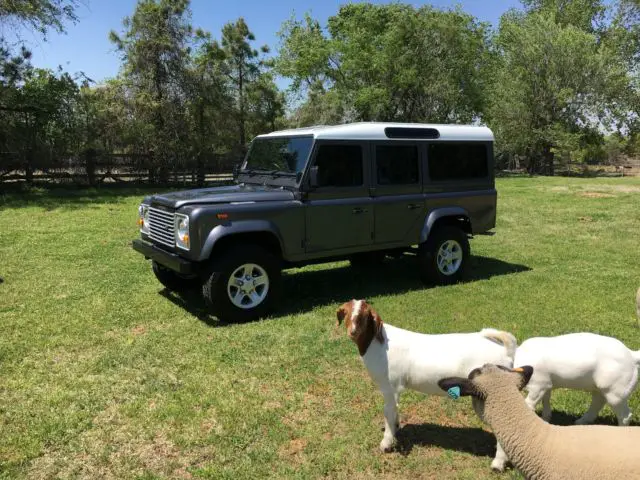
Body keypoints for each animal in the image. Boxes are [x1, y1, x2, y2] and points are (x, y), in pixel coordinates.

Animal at [338, 298, 516, 470]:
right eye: (345, 312)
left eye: (365, 315)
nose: (352, 332)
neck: (379, 344)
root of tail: (506, 351)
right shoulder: (396, 390)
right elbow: (394, 411)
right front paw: (396, 428)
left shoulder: (389, 387)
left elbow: (387, 413)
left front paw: (386, 444)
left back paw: (498, 464)